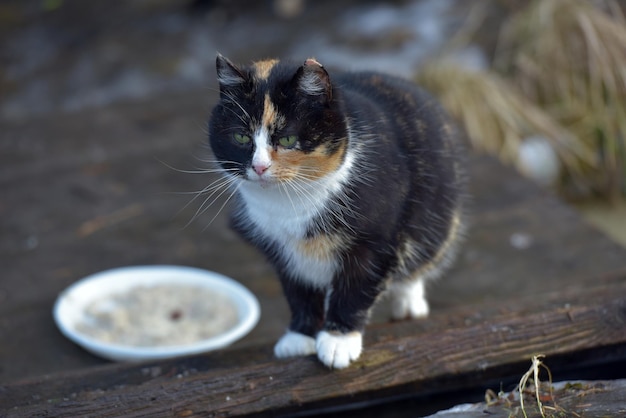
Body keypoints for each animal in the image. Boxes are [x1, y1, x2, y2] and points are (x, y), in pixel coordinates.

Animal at [208, 53, 464, 370]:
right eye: (241, 138)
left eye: (288, 139)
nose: (259, 167)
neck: (290, 204)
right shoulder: (281, 248)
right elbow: (299, 290)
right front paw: (300, 336)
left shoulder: (375, 239)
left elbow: (355, 288)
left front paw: (338, 341)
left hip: (437, 216)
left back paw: (408, 302)